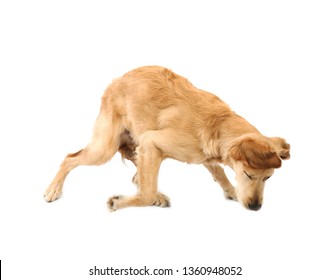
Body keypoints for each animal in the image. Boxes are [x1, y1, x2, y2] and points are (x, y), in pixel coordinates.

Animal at [44, 65, 290, 210]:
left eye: (268, 178)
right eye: (249, 175)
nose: (255, 207)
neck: (217, 124)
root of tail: (116, 81)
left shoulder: (201, 154)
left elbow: (218, 172)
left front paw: (230, 191)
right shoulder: (152, 141)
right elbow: (145, 192)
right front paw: (119, 202)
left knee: (138, 177)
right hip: (105, 148)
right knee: (69, 158)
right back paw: (53, 190)